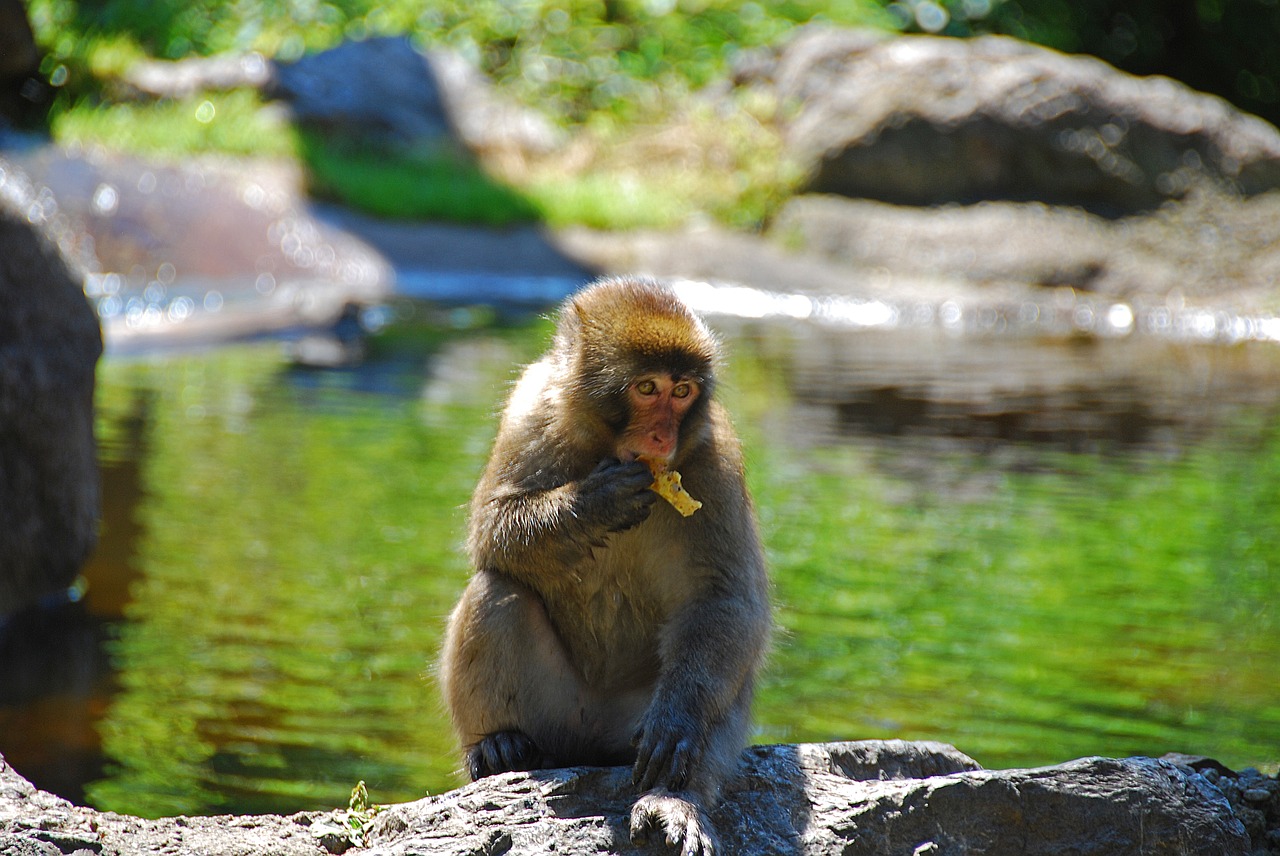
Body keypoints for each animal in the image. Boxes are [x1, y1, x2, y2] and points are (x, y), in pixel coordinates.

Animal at [440, 277, 768, 849]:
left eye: (682, 392)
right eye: (647, 388)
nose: (663, 438)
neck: (605, 446)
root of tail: (591, 746)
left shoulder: (715, 456)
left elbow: (724, 599)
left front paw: (679, 726)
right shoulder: (530, 411)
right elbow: (492, 532)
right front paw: (598, 503)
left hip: (630, 727)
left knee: (726, 667)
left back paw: (674, 799)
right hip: (558, 717)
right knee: (497, 589)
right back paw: (498, 746)